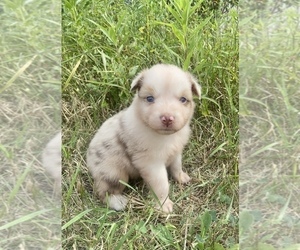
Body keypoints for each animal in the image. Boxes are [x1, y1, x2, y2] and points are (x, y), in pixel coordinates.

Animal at [86, 64, 200, 213]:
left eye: (183, 99)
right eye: (150, 98)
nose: (167, 118)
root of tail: (88, 157)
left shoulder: (176, 151)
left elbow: (176, 166)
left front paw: (181, 177)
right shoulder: (151, 163)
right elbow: (161, 184)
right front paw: (164, 204)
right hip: (113, 172)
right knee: (103, 190)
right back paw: (117, 201)